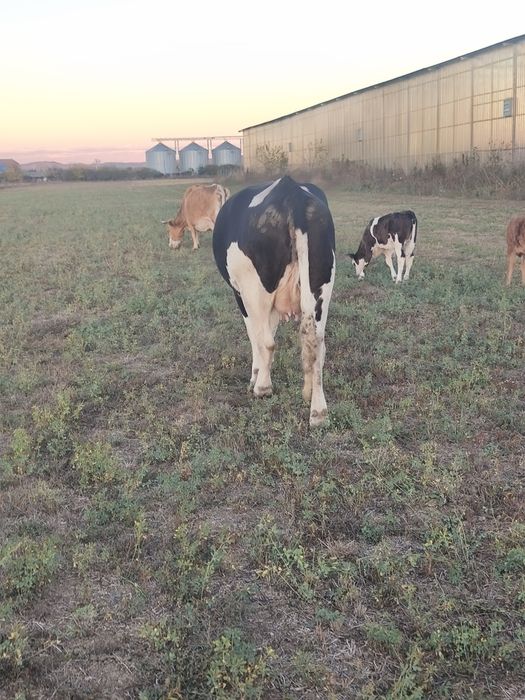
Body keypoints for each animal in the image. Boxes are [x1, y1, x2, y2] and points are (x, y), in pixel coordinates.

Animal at [212, 175, 336, 427]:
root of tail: (292, 193)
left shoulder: (240, 295)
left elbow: (255, 336)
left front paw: (256, 375)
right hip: (321, 287)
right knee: (316, 343)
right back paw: (317, 410)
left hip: (254, 289)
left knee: (267, 342)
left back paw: (263, 388)